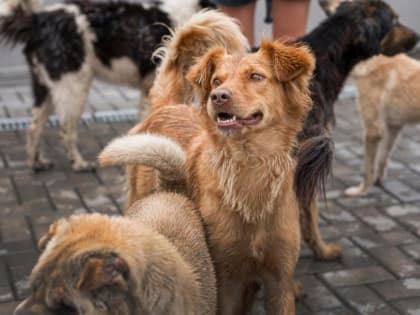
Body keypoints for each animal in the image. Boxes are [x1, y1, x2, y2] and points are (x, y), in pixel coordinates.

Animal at [0, 0, 213, 172]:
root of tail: (38, 21)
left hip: (45, 88)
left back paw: (36, 162)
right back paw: (79, 163)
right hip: (73, 87)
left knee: (34, 127)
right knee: (65, 130)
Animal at [99, 40, 316, 315]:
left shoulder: (279, 281)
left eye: (256, 76)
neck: (249, 167)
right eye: (216, 81)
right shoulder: (224, 280)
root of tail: (166, 106)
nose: (218, 96)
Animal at [344, 54, 420, 198]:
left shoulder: (372, 131)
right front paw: (378, 181)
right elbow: (382, 158)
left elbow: (367, 169)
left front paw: (361, 191)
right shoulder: (393, 127)